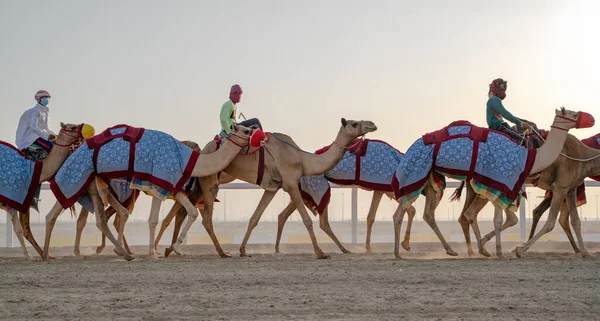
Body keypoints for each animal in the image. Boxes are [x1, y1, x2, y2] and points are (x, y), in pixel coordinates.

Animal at [0, 121, 92, 258]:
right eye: (72, 127)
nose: (85, 128)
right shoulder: (12, 199)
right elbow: (18, 229)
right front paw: (29, 257)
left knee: (27, 229)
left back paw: (45, 254)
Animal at [41, 123, 256, 260]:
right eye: (246, 129)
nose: (259, 136)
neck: (190, 160)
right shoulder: (161, 181)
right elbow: (155, 219)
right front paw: (154, 252)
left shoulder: (170, 185)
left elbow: (189, 212)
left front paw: (171, 248)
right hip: (79, 176)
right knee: (65, 213)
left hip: (95, 184)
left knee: (108, 216)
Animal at [157, 119, 378, 258]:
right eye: (354, 123)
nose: (372, 124)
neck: (302, 159)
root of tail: (202, 149)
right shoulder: (290, 183)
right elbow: (306, 219)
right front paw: (321, 253)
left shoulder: (272, 188)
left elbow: (255, 218)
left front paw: (243, 250)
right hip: (209, 181)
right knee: (205, 218)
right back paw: (219, 252)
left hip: (202, 183)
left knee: (184, 212)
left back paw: (170, 249)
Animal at [392, 109, 592, 258]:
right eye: (573, 114)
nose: (591, 118)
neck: (528, 157)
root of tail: (410, 149)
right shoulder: (501, 180)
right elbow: (502, 219)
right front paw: (501, 251)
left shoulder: (499, 186)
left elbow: (504, 219)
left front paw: (491, 248)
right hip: (416, 171)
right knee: (404, 211)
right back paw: (400, 252)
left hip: (430, 179)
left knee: (427, 213)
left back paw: (450, 250)